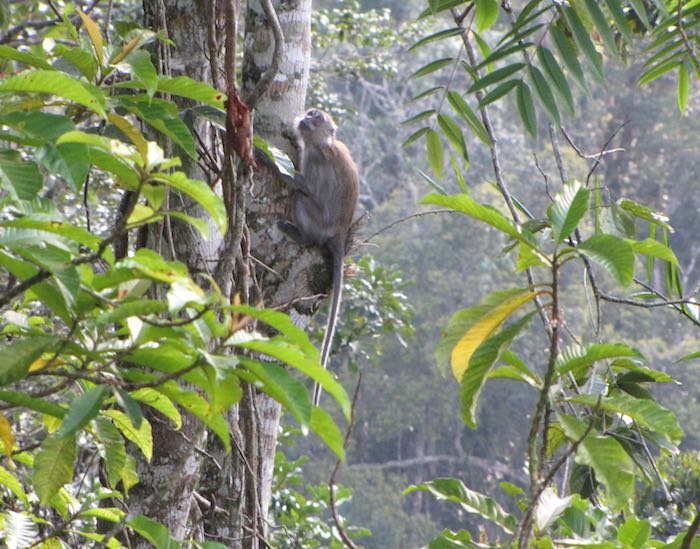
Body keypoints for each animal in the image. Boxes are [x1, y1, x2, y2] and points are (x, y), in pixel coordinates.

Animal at [257, 108, 360, 406]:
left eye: (317, 117)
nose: (306, 117)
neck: (322, 144)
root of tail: (339, 233)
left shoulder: (314, 160)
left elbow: (301, 184)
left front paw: (266, 157)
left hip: (317, 223)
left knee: (300, 198)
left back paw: (301, 236)